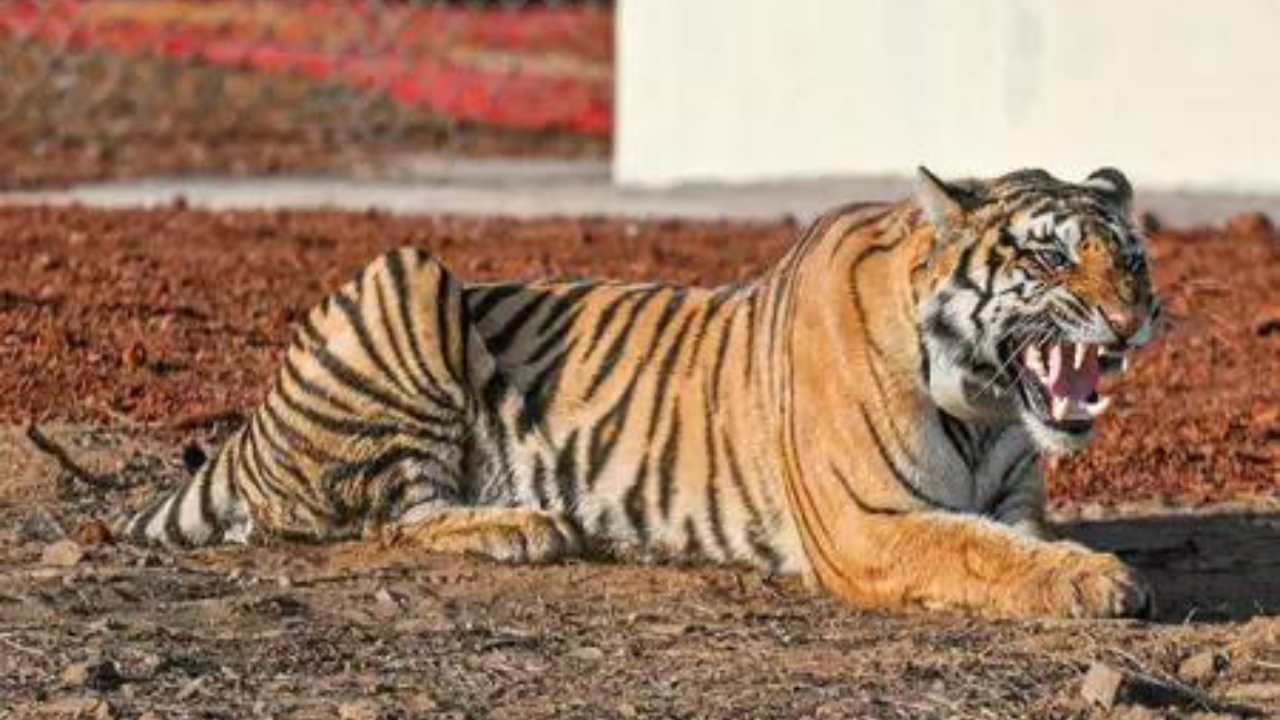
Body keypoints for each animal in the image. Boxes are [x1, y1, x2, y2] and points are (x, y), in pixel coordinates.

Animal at [123, 166, 1160, 619]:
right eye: (1051, 258)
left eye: (1133, 258)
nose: (1133, 317)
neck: (986, 406)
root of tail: (251, 429)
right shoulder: (867, 519)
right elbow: (976, 550)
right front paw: (1099, 580)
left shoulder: (1010, 499)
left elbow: (1007, 539)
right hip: (406, 271)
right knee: (386, 519)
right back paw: (526, 525)